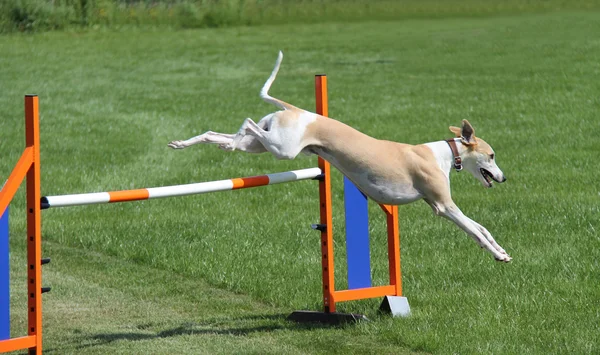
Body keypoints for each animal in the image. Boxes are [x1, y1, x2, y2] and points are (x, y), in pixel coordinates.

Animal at [169, 51, 510, 262]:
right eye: (492, 156)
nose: (504, 178)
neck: (443, 153)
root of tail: (294, 109)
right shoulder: (443, 205)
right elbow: (475, 230)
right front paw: (497, 254)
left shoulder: (442, 205)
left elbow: (482, 228)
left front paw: (502, 251)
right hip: (282, 148)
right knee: (248, 122)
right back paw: (234, 133)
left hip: (264, 144)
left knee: (219, 134)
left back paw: (187, 143)